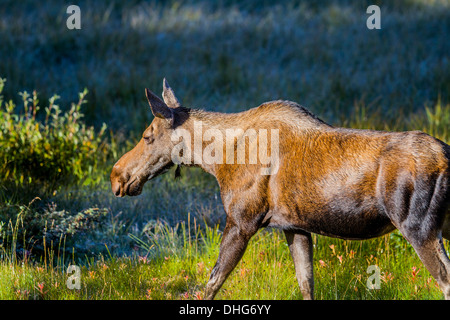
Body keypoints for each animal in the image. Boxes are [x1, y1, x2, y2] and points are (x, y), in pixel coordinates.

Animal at [111, 79, 450, 300]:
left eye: (147, 136)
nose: (117, 176)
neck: (216, 160)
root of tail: (447, 156)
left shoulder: (242, 221)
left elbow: (211, 282)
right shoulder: (295, 227)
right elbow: (306, 283)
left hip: (419, 227)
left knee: (445, 281)